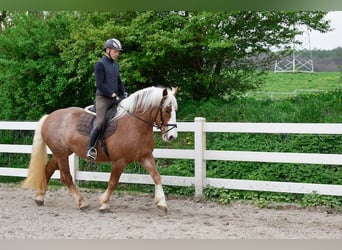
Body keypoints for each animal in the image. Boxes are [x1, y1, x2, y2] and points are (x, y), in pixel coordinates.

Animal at [20, 86, 179, 213]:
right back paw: (81, 202)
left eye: (175, 110)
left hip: (62, 153)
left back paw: (40, 197)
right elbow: (113, 182)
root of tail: (49, 117)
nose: (172, 136)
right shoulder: (119, 161)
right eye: (167, 110)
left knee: (48, 169)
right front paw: (104, 204)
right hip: (61, 154)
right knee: (67, 177)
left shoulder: (145, 156)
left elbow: (156, 176)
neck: (134, 123)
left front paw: (162, 203)